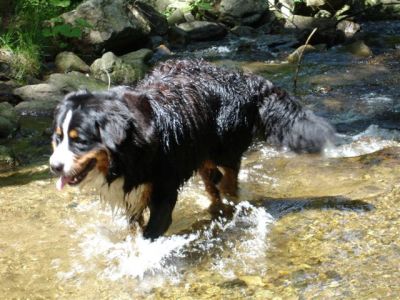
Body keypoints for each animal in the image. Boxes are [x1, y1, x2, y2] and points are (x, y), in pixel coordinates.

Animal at [49, 58, 334, 239]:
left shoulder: (163, 191)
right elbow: (133, 228)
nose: (54, 167)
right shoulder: (134, 193)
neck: (130, 151)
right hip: (200, 154)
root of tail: (244, 78)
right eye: (58, 137)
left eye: (80, 140)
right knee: (213, 181)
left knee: (228, 180)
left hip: (224, 147)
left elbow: (150, 234)